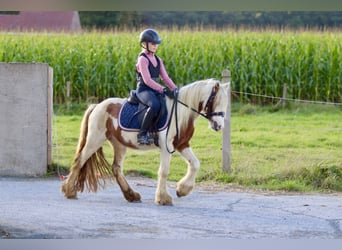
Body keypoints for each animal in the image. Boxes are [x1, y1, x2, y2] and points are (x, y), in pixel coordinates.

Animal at [60, 78, 230, 205]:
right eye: (215, 100)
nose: (219, 126)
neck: (181, 112)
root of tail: (97, 106)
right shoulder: (166, 147)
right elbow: (164, 171)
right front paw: (163, 198)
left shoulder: (182, 145)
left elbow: (195, 164)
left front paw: (182, 190)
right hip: (95, 139)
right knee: (80, 160)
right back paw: (69, 191)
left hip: (119, 144)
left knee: (116, 168)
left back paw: (132, 195)